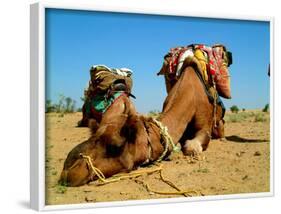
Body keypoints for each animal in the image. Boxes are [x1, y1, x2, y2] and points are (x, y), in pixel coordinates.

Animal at [58, 44, 230, 186]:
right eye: (93, 135)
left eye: (115, 147)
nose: (68, 168)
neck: (191, 95)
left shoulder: (204, 126)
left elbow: (191, 147)